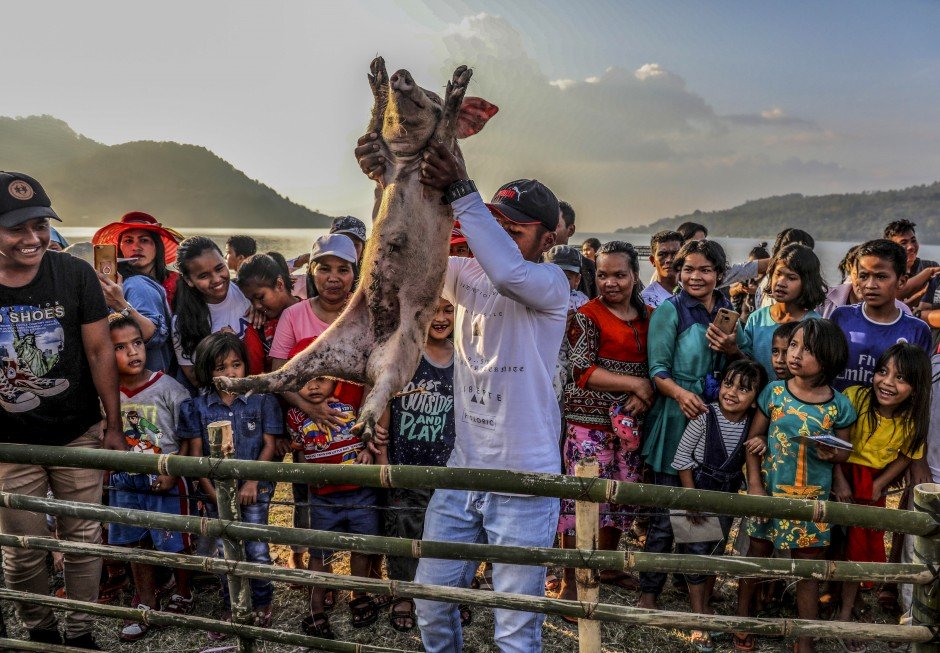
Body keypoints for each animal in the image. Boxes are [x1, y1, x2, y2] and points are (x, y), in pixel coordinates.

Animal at [217, 58, 500, 440]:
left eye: (432, 99)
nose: (401, 75)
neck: (407, 164)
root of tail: (365, 359)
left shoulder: (439, 160)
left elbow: (444, 131)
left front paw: (459, 79)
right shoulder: (384, 172)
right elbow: (376, 133)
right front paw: (377, 74)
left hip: (403, 354)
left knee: (381, 389)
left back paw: (362, 427)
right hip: (327, 345)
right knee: (286, 376)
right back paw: (230, 382)